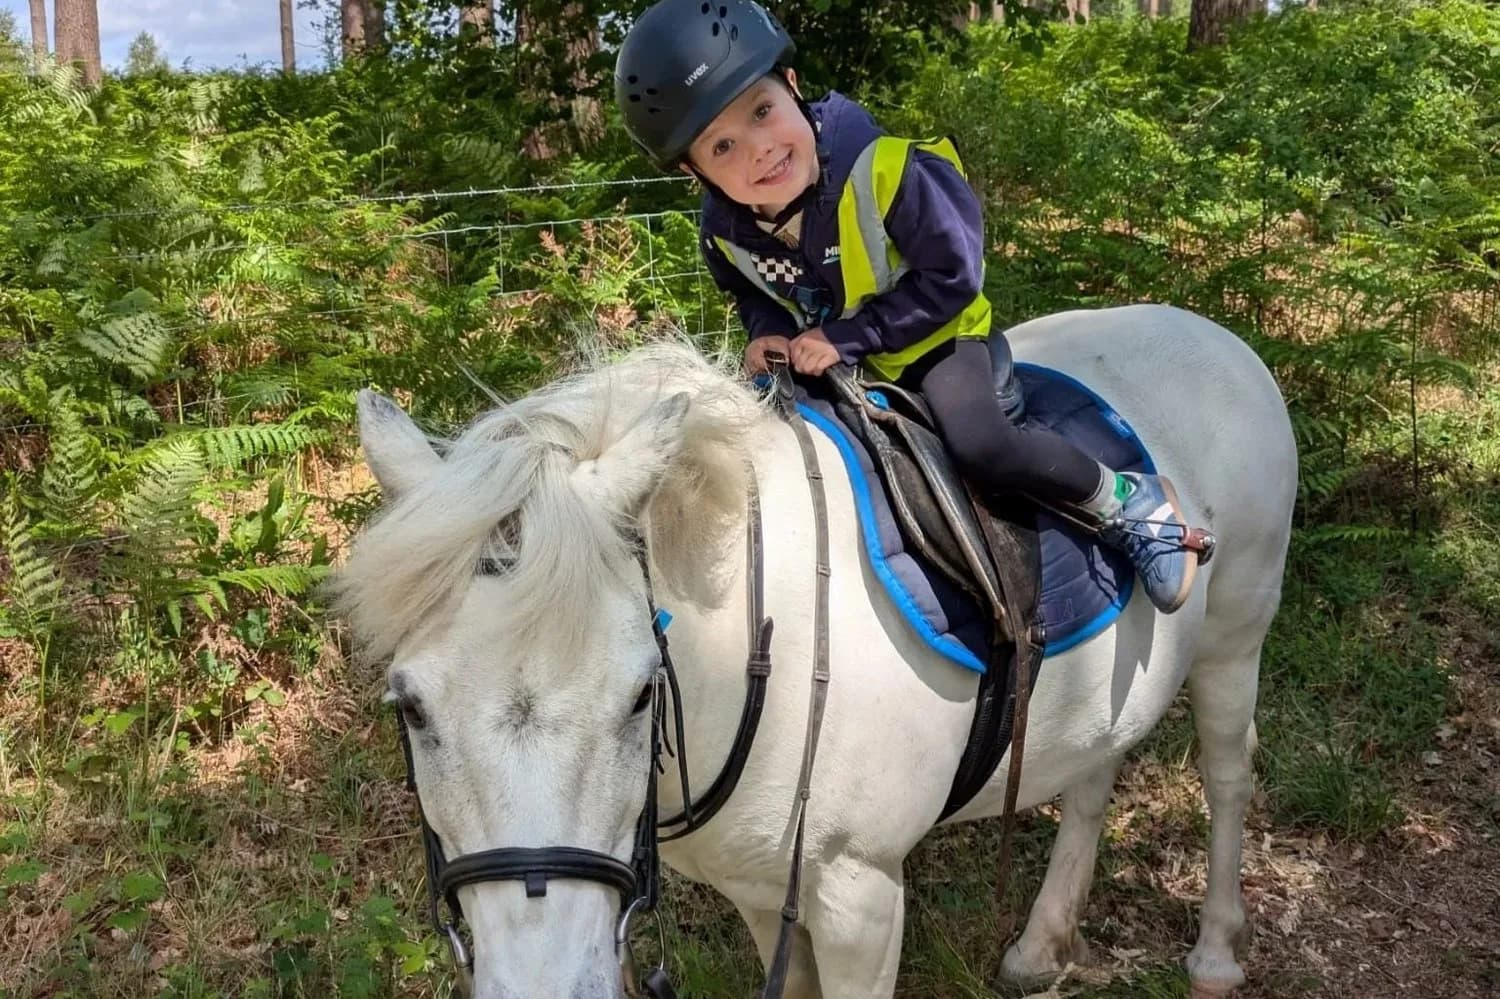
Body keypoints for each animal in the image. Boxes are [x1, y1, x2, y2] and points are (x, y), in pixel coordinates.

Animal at [333, 304, 1297, 998]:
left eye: (641, 694)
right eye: (410, 706)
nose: (543, 986)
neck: (761, 646)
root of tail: (1208, 331)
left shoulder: (858, 898)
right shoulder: (763, 894)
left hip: (1236, 633)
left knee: (1228, 772)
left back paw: (1216, 953)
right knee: (1095, 771)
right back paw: (1040, 944)